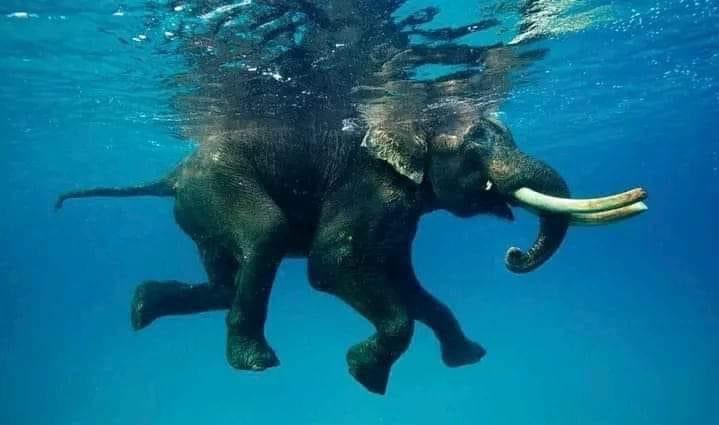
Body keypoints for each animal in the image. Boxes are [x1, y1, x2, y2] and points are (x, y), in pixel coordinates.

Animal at [56, 115, 647, 394]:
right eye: (478, 145)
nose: (513, 254)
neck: (408, 125)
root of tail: (170, 174)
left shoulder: (401, 211)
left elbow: (408, 284)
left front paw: (469, 358)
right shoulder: (367, 186)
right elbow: (335, 264)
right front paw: (365, 375)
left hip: (199, 209)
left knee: (227, 279)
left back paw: (140, 307)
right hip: (217, 188)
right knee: (266, 237)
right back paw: (255, 363)